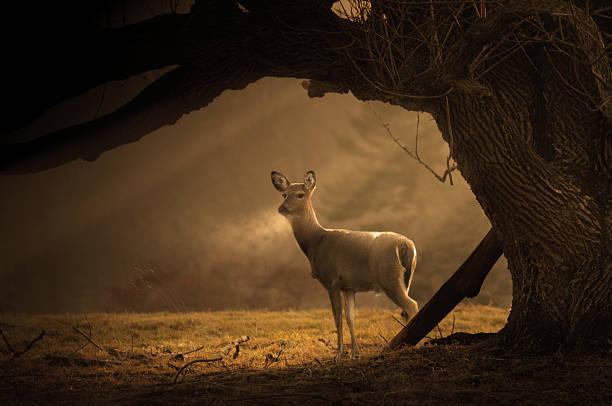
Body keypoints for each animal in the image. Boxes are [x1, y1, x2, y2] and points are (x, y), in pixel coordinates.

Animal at [272, 170, 420, 360]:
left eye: (300, 194)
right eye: (284, 194)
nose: (282, 208)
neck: (315, 242)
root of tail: (406, 245)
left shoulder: (331, 280)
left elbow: (337, 318)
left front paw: (338, 354)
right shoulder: (349, 287)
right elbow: (350, 317)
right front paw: (355, 353)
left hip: (389, 276)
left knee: (411, 305)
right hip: (406, 278)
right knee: (406, 308)